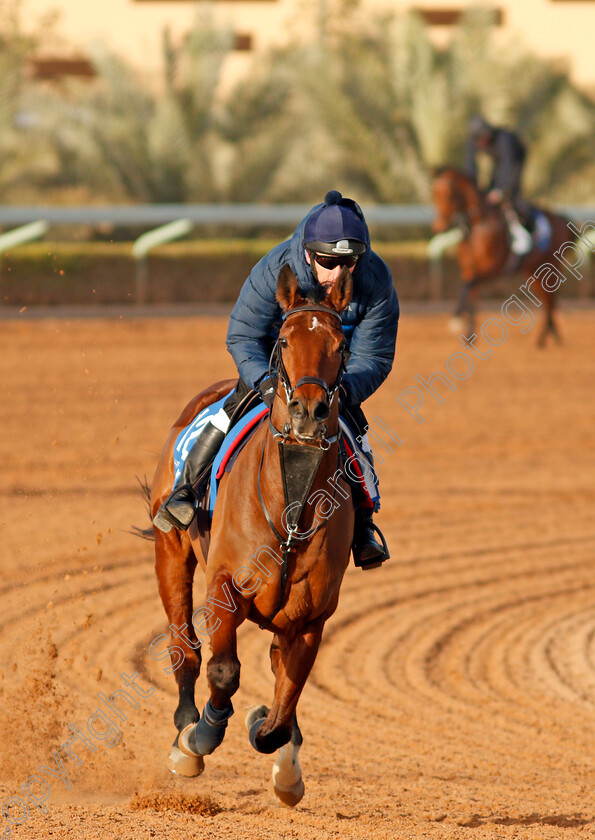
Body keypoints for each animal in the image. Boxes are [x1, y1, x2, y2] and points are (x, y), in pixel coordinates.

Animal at [150, 264, 354, 808]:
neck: (289, 506)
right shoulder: (225, 586)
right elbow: (224, 670)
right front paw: (199, 737)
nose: (309, 411)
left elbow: (284, 705)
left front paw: (278, 753)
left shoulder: (311, 618)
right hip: (171, 553)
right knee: (184, 646)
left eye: (341, 343)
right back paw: (185, 733)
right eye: (283, 339)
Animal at [430, 167, 576, 344]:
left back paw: (545, 339)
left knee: (551, 299)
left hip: (551, 266)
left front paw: (456, 319)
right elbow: (470, 293)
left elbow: (469, 286)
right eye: (433, 194)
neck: (479, 224)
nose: (438, 227)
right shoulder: (469, 268)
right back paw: (549, 337)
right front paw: (469, 337)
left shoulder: (493, 269)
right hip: (534, 271)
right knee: (548, 300)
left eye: (450, 194)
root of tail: (561, 219)